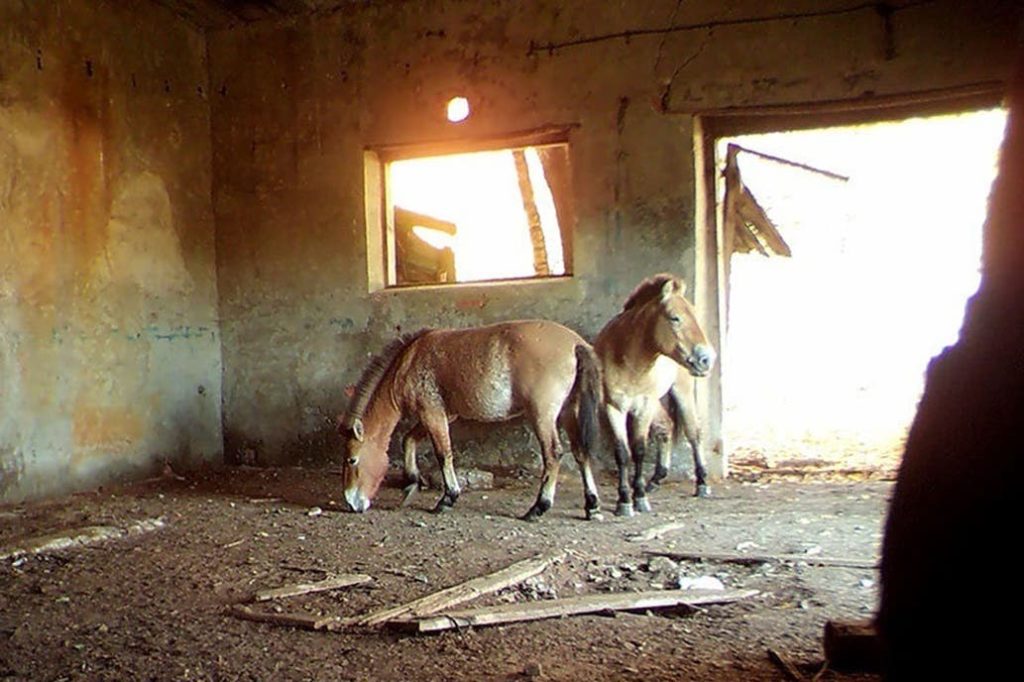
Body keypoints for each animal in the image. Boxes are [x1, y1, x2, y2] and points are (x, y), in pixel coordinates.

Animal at [339, 317, 602, 516]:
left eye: (352, 460)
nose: (351, 503)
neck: (407, 363)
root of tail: (575, 344)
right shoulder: (444, 415)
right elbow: (409, 440)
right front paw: (412, 482)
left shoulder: (432, 413)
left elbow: (443, 454)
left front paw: (448, 498)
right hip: (569, 411)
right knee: (581, 452)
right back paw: (592, 505)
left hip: (542, 415)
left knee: (553, 454)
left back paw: (539, 507)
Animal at [598, 274, 716, 512]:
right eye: (674, 318)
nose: (707, 359)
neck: (627, 359)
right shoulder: (613, 407)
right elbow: (622, 452)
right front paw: (624, 500)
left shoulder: (643, 406)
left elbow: (639, 449)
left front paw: (639, 497)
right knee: (666, 426)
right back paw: (656, 479)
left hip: (681, 393)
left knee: (693, 432)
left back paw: (701, 483)